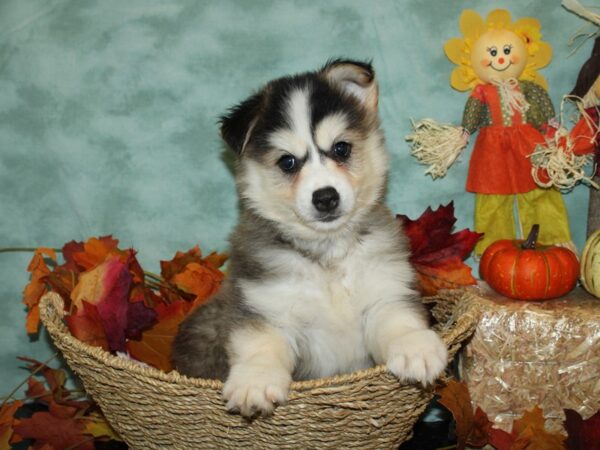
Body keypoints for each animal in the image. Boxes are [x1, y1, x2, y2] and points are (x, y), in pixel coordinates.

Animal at [171, 59, 448, 418]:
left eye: (341, 148)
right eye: (287, 161)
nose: (326, 197)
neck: (328, 254)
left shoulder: (384, 291)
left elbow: (398, 320)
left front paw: (415, 347)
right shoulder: (266, 308)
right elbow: (260, 344)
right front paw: (255, 381)